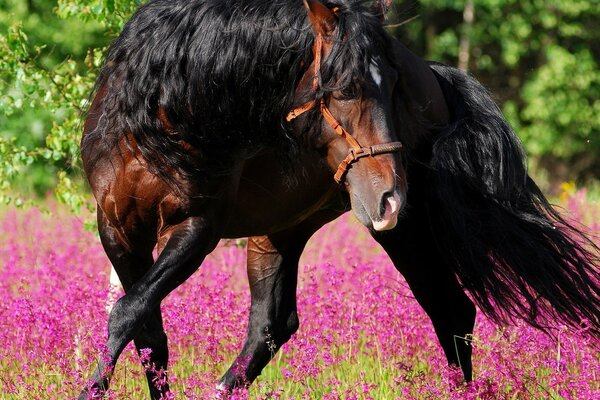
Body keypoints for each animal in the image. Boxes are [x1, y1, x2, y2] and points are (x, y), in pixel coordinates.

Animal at [78, 0, 408, 396]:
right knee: (270, 324)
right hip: (281, 230)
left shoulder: (196, 230)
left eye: (394, 84)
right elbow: (146, 332)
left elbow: (129, 311)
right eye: (346, 89)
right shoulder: (119, 231)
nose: (390, 198)